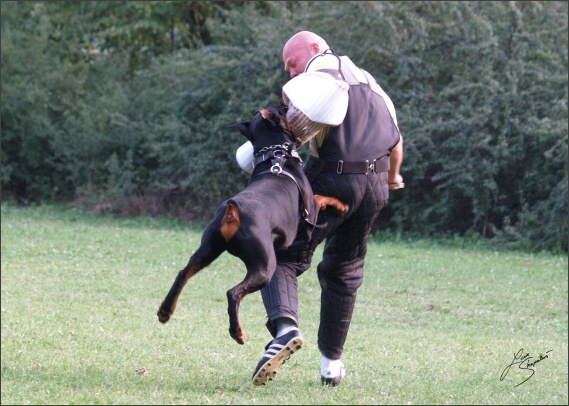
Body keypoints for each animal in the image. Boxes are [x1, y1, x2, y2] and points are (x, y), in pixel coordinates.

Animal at [158, 103, 348, 344]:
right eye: (282, 108)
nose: (287, 102)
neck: (275, 155)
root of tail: (232, 212)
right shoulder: (311, 211)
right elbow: (322, 197)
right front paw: (341, 205)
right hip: (264, 267)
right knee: (233, 293)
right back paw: (237, 332)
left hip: (208, 249)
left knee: (183, 273)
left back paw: (165, 311)